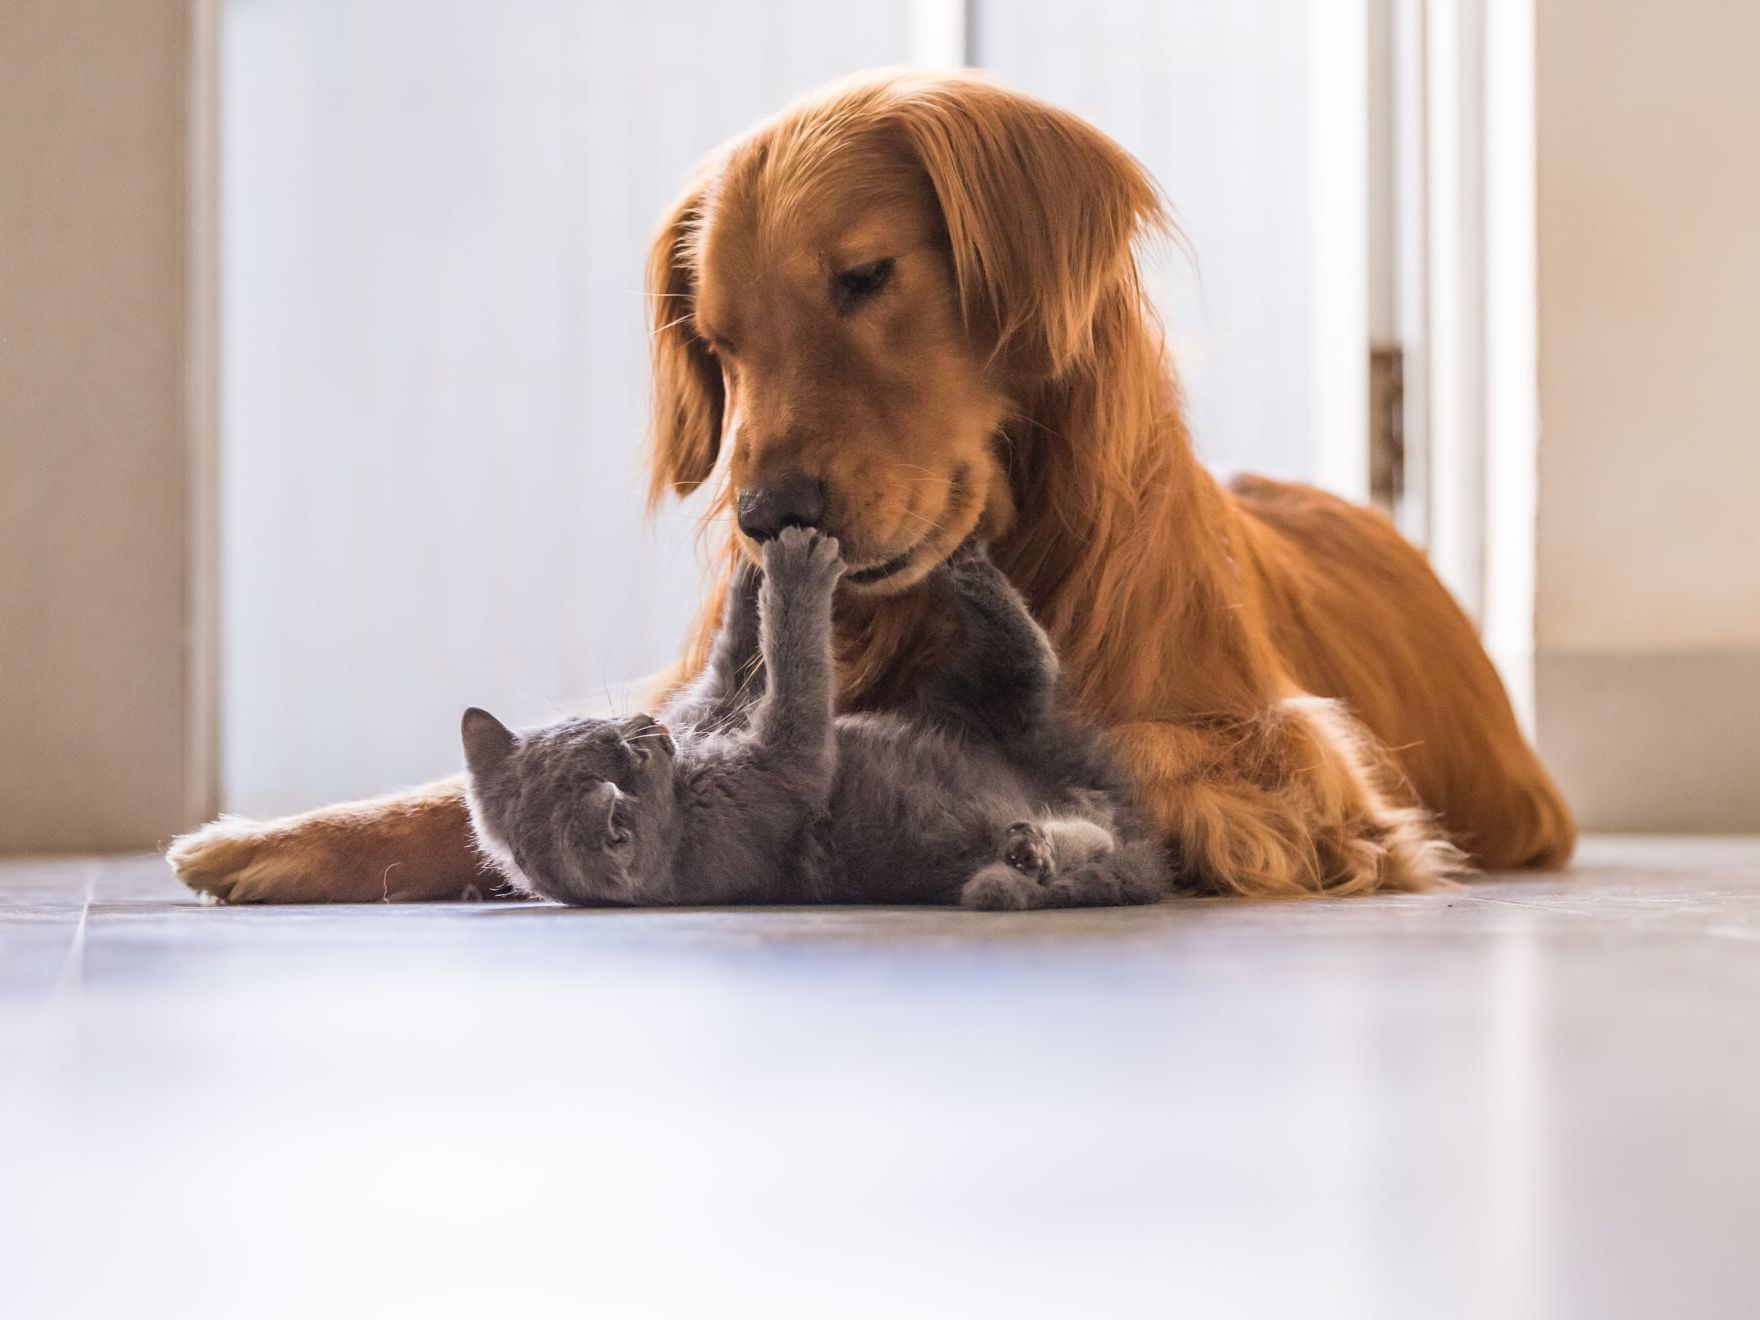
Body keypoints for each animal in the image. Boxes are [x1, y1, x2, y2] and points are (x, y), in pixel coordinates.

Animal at [461, 528, 1168, 908]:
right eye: (629, 768)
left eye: (606, 734)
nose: (651, 733)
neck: (685, 793)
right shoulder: (769, 785)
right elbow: (797, 679)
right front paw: (794, 567)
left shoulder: (713, 709)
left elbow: (734, 661)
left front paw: (750, 565)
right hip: (1004, 717)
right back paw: (1031, 850)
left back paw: (962, 565)